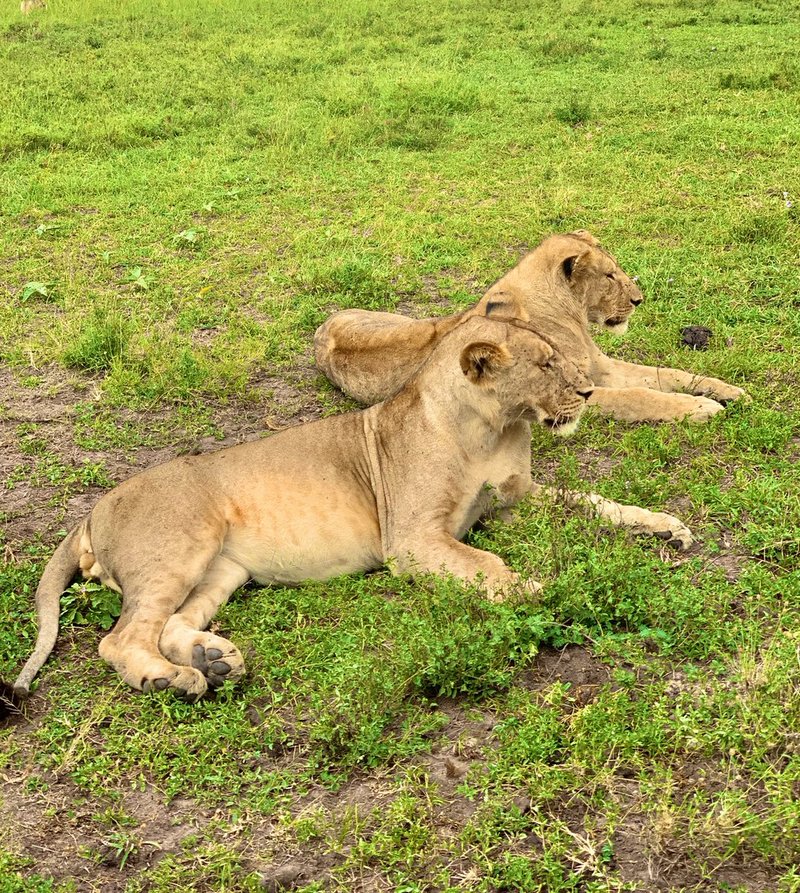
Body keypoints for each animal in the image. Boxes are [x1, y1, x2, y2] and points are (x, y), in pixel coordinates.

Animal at [10, 318, 688, 700]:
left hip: (223, 570)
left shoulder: (513, 502)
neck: (493, 428)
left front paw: (666, 527)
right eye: (546, 365)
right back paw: (173, 679)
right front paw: (553, 595)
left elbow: (597, 502)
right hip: (182, 545)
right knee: (120, 638)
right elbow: (494, 568)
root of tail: (91, 512)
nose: (588, 391)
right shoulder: (412, 540)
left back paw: (214, 660)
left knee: (170, 625)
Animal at [312, 230, 744, 426]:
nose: (639, 301)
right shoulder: (573, 389)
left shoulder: (601, 368)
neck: (567, 312)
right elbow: (642, 397)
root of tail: (321, 330)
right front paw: (700, 408)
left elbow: (667, 373)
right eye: (609, 275)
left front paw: (727, 390)